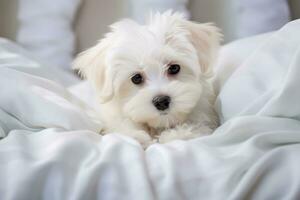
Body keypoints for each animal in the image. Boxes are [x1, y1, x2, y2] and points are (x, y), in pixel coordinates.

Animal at [73, 11, 220, 148]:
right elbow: (122, 124)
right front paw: (136, 135)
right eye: (136, 78)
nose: (161, 101)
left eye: (174, 68)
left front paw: (177, 134)